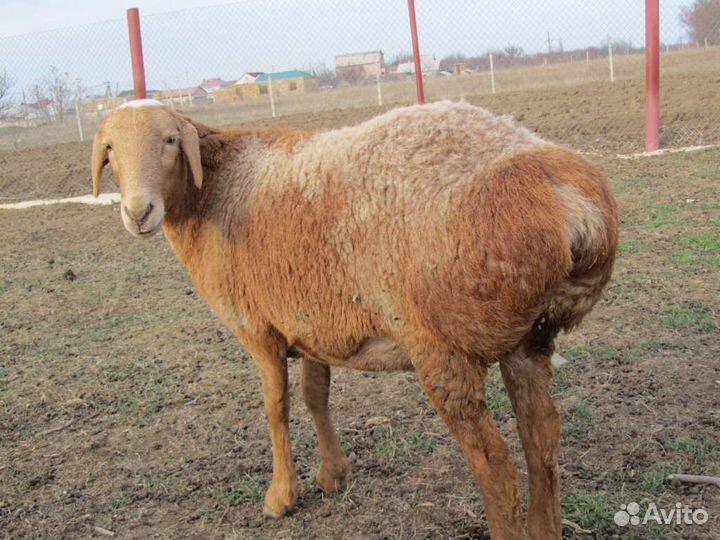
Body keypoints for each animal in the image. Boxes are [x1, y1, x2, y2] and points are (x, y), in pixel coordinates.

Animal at [91, 99, 618, 540]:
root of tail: (572, 204)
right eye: (111, 149)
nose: (138, 212)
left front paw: (281, 497)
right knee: (541, 432)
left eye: (170, 140)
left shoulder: (259, 329)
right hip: (529, 338)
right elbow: (315, 396)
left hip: (444, 346)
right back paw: (545, 527)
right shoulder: (311, 323)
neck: (214, 190)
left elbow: (276, 407)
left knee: (495, 462)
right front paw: (333, 475)